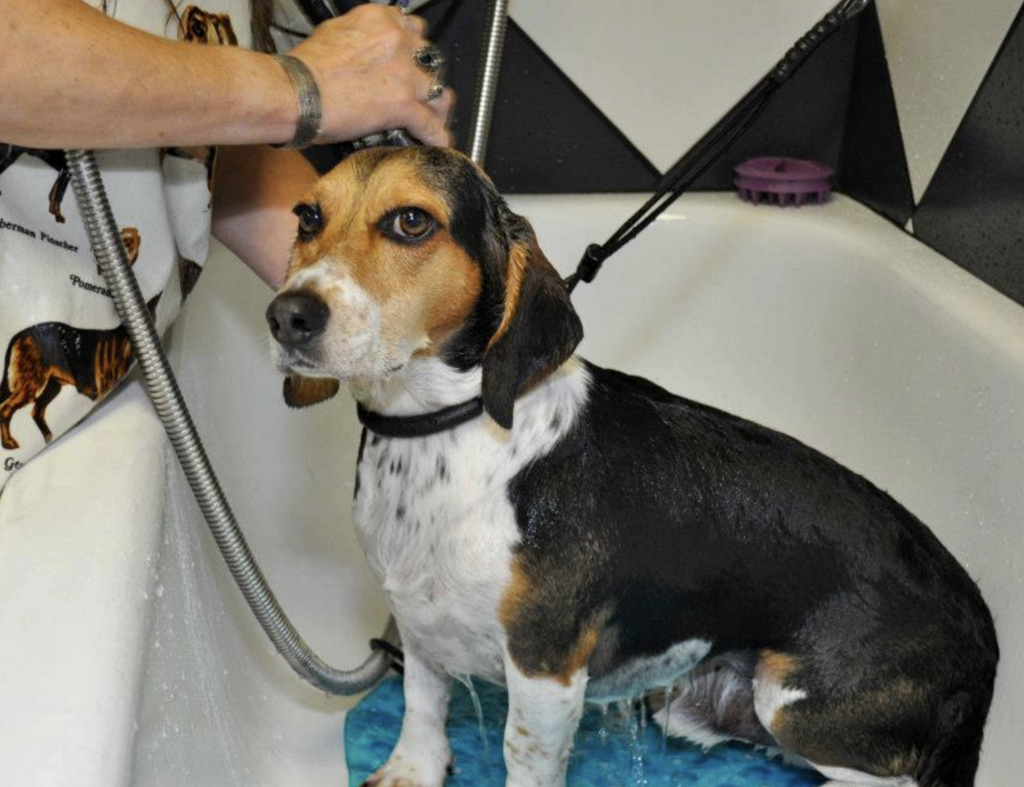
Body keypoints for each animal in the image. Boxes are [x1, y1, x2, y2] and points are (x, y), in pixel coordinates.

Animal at [266, 145, 999, 785]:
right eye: (306, 216)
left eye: (411, 222)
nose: (287, 315)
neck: (445, 431)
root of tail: (984, 632)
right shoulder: (418, 622)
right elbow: (423, 704)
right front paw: (413, 770)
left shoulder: (547, 671)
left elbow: (521, 757)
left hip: (797, 707)